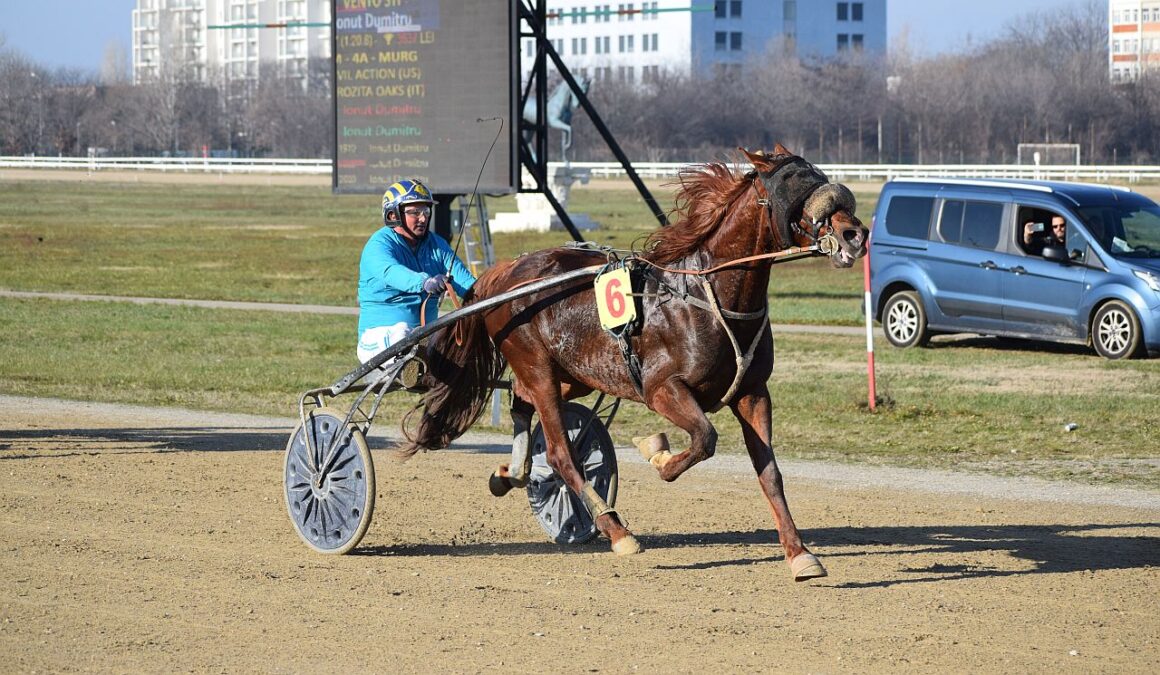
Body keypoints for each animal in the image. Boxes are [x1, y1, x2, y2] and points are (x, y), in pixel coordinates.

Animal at [403, 146, 867, 582]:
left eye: (821, 177)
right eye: (796, 185)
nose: (854, 234)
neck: (708, 294)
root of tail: (505, 274)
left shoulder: (753, 393)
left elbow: (770, 473)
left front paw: (800, 554)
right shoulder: (661, 388)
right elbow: (704, 438)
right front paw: (657, 452)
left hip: (574, 373)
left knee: (522, 401)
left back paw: (512, 472)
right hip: (537, 366)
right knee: (560, 452)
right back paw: (616, 531)